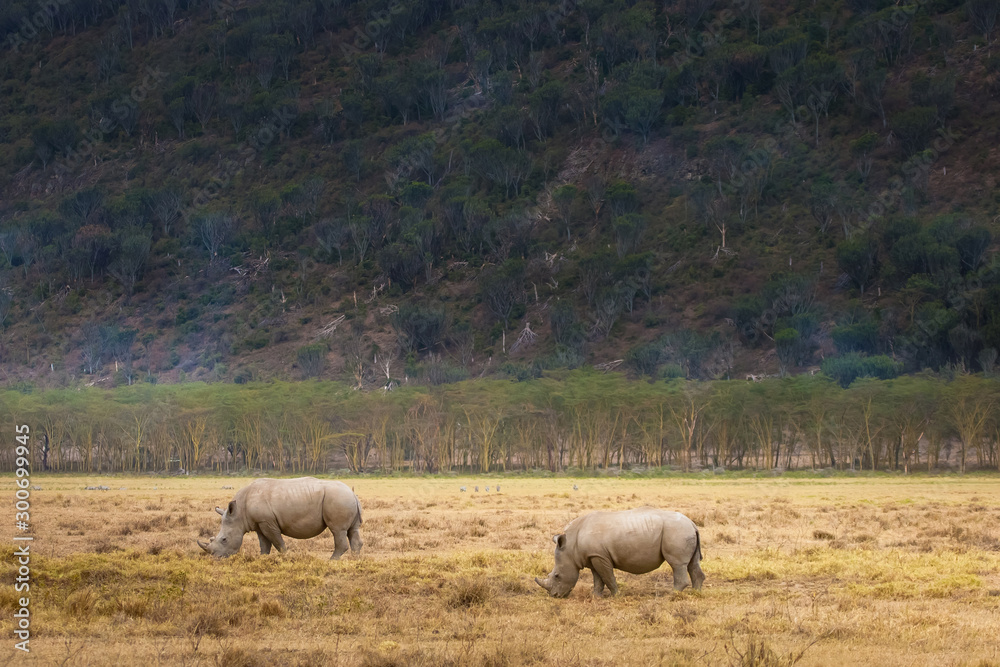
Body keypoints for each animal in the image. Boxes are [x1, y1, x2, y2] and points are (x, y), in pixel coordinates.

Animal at [197, 477, 363, 559]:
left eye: (224, 539)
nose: (216, 558)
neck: (239, 513)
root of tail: (353, 493)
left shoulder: (267, 522)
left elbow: (277, 542)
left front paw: (285, 557)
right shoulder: (259, 523)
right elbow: (264, 544)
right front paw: (262, 559)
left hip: (338, 498)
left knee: (338, 530)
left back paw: (331, 561)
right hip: (345, 498)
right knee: (352, 531)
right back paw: (355, 560)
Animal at [535, 507, 704, 598]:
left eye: (557, 576)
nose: (555, 596)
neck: (570, 547)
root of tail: (692, 523)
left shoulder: (600, 556)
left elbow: (607, 576)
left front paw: (616, 595)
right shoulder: (594, 556)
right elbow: (598, 579)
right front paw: (595, 597)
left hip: (677, 531)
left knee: (677, 565)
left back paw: (673, 595)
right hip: (684, 531)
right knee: (692, 564)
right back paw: (696, 593)